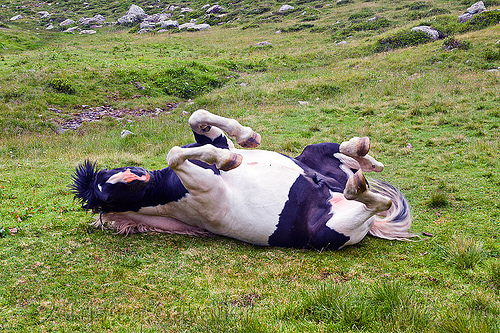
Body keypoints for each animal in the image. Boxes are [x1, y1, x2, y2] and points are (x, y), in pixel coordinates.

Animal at [71, 109, 414, 249]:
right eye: (107, 196)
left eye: (107, 174)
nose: (138, 176)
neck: (168, 187)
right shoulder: (201, 188)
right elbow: (173, 153)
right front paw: (229, 160)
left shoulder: (213, 139)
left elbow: (197, 118)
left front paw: (246, 139)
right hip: (333, 228)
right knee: (375, 200)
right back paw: (357, 183)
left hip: (313, 154)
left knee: (345, 157)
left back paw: (362, 152)